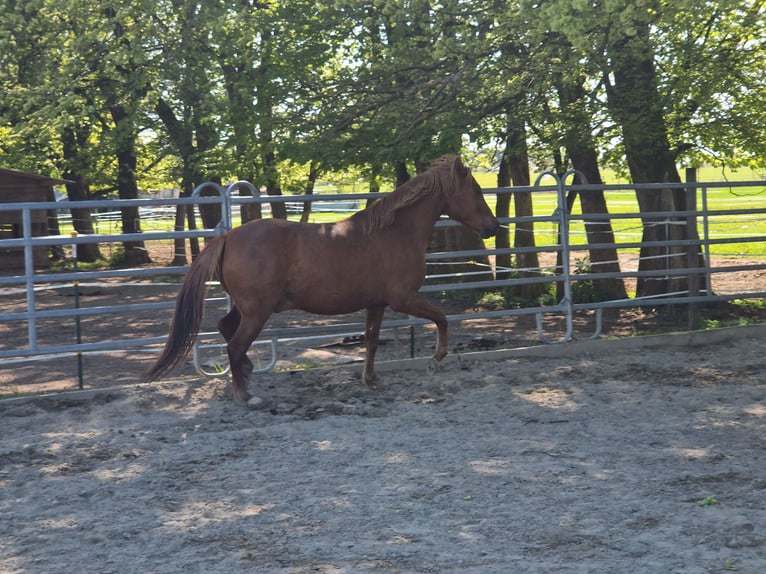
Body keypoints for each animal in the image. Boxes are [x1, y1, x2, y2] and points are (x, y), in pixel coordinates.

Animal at [145, 155, 499, 404]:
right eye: (476, 190)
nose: (493, 228)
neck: (395, 233)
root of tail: (228, 236)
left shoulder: (377, 303)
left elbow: (371, 341)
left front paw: (371, 380)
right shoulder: (404, 298)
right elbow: (442, 318)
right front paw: (436, 358)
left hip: (249, 308)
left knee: (226, 329)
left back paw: (247, 375)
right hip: (258, 311)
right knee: (234, 344)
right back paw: (245, 396)